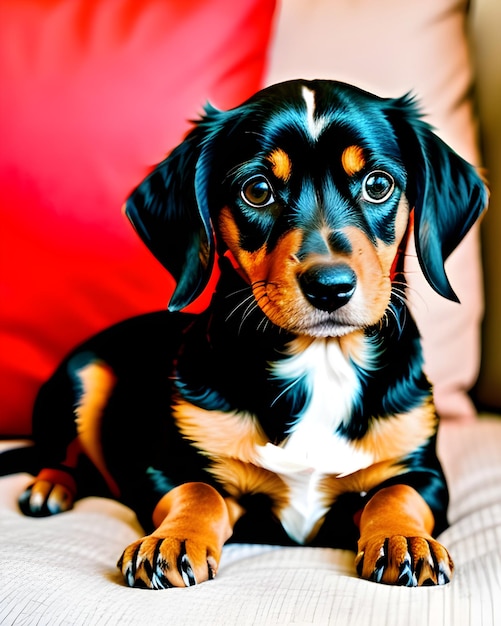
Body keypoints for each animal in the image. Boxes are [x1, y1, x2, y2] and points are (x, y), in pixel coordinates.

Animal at [1, 79, 486, 584]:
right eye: (257, 190)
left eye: (377, 184)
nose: (330, 287)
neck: (321, 358)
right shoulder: (166, 467)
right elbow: (199, 491)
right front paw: (172, 541)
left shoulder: (426, 473)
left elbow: (396, 493)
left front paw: (402, 539)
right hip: (81, 376)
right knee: (58, 455)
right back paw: (49, 488)